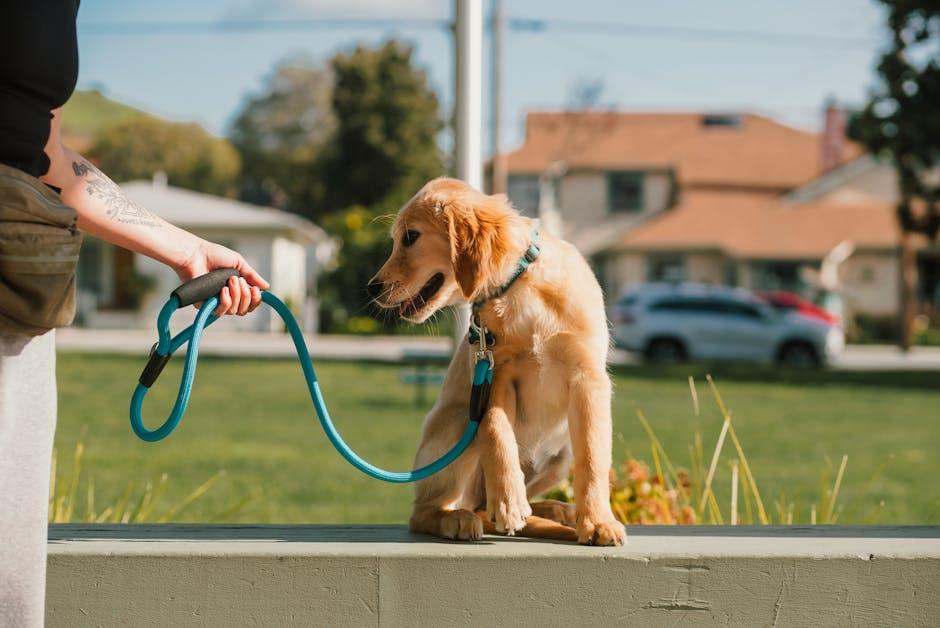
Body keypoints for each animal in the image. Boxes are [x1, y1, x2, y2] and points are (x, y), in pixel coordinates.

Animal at [370, 177, 628, 544]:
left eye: (410, 237)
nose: (372, 288)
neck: (519, 289)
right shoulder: (497, 373)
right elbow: (495, 429)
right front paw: (507, 501)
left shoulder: (587, 376)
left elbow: (593, 457)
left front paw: (596, 521)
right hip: (458, 422)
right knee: (425, 513)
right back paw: (458, 518)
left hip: (560, 455)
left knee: (492, 504)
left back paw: (556, 510)